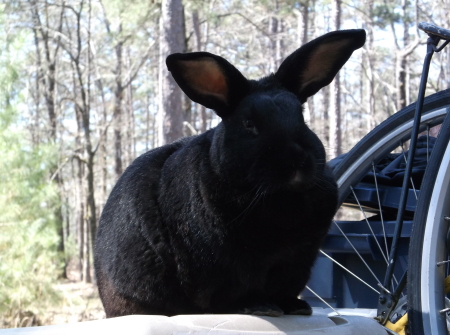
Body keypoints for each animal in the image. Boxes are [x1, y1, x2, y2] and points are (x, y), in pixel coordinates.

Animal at [94, 28, 366, 318]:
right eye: (249, 123)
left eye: (301, 117)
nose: (296, 161)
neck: (278, 198)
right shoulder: (224, 268)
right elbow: (232, 295)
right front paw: (260, 306)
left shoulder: (297, 262)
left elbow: (285, 290)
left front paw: (296, 307)